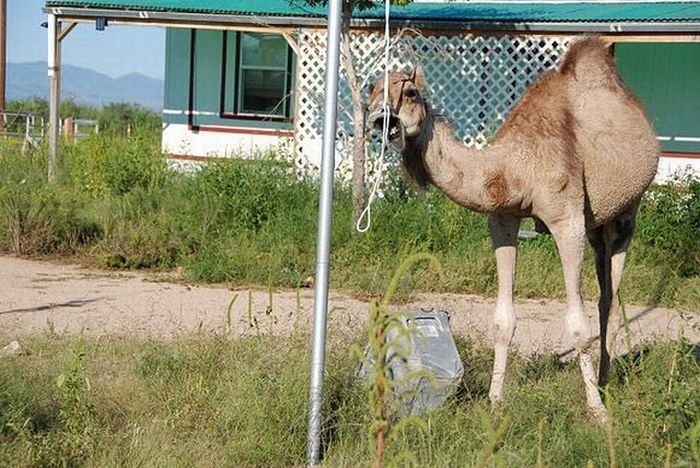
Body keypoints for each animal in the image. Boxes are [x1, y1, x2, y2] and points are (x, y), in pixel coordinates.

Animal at [366, 37, 660, 420]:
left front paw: (597, 412)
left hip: (626, 213)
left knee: (611, 299)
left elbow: (577, 326)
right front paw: (494, 401)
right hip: (597, 226)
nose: (379, 118)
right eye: (371, 92)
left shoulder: (568, 221)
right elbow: (502, 320)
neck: (516, 167)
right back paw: (602, 380)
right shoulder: (502, 219)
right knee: (604, 296)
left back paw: (605, 386)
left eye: (411, 92)